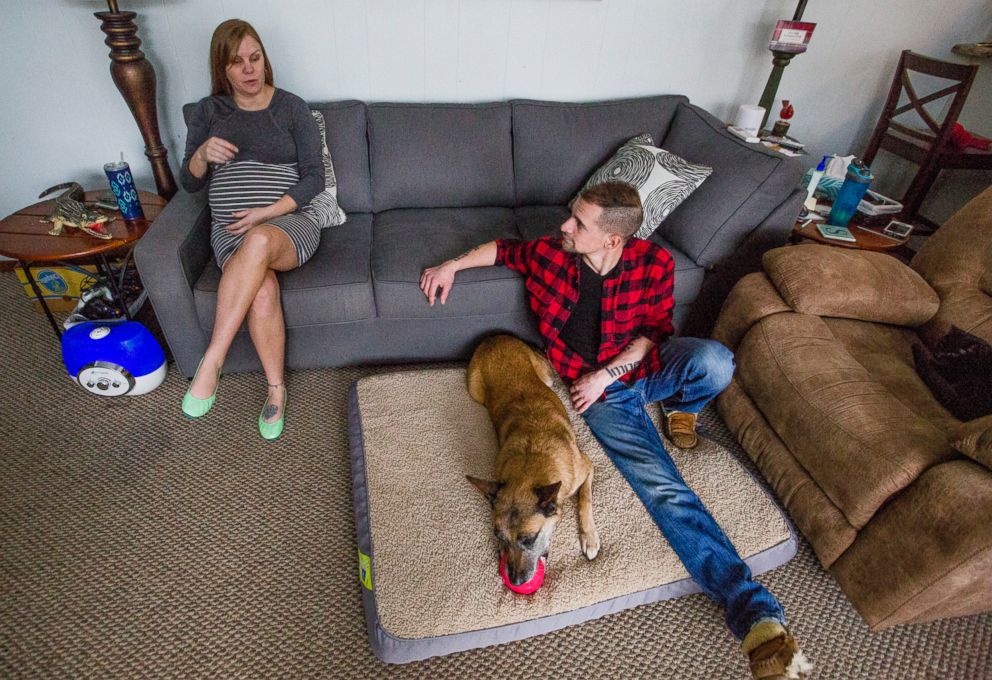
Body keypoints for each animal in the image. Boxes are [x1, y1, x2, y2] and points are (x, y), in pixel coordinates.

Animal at [464, 334, 596, 584]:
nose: (515, 581)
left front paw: (590, 537)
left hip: (547, 377)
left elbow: (585, 498)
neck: (531, 460)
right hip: (475, 391)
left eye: (529, 539)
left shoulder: (587, 464)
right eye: (500, 537)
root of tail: (494, 338)